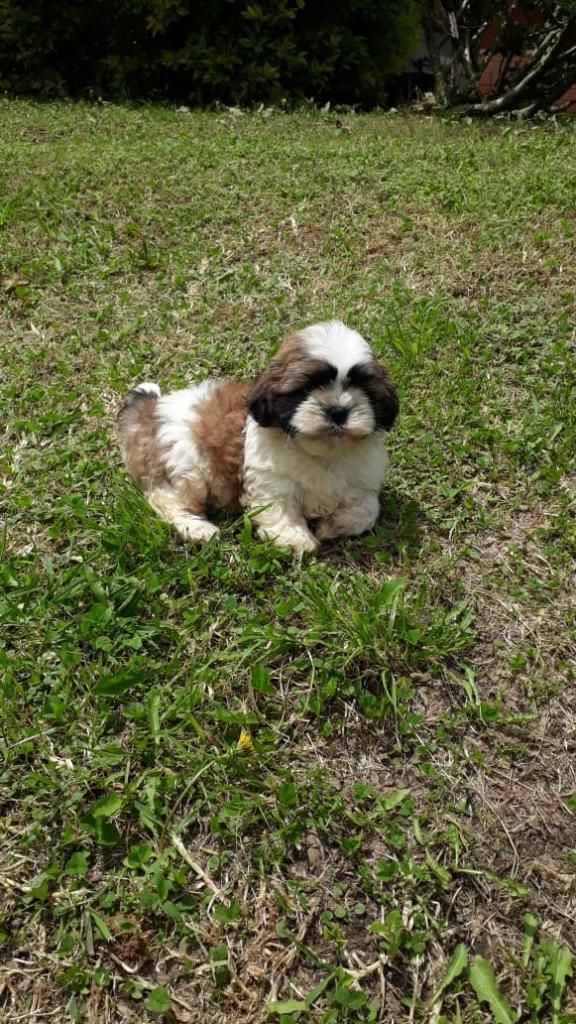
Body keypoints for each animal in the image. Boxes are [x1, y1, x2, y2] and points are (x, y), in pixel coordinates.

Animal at [118, 323, 397, 557]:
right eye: (307, 388)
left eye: (361, 387)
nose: (338, 410)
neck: (322, 452)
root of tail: (151, 409)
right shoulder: (270, 481)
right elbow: (279, 510)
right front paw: (295, 538)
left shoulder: (362, 482)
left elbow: (368, 509)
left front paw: (331, 526)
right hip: (184, 466)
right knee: (167, 500)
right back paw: (197, 528)